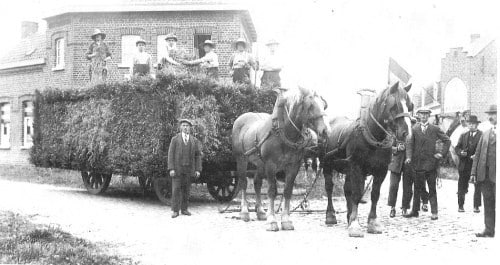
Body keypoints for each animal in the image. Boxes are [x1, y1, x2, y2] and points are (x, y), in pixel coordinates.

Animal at [231, 85, 332, 230]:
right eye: (310, 106)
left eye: (324, 105)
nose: (326, 131)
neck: (284, 133)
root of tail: (241, 119)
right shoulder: (271, 165)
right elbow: (272, 191)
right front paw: (272, 220)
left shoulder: (293, 166)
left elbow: (287, 191)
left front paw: (286, 220)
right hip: (241, 160)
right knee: (244, 183)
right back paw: (244, 212)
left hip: (260, 164)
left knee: (257, 183)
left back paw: (260, 212)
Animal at [320, 81, 414, 236]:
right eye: (394, 106)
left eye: (410, 105)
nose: (407, 133)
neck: (374, 137)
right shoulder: (357, 167)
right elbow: (357, 194)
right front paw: (355, 225)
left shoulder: (381, 171)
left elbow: (374, 194)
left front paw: (372, 223)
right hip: (326, 164)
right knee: (329, 187)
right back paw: (331, 216)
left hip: (347, 169)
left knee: (346, 189)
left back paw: (348, 216)